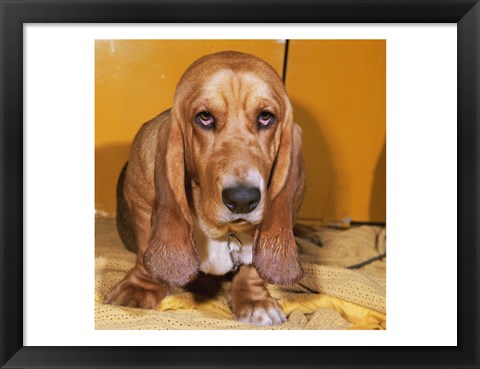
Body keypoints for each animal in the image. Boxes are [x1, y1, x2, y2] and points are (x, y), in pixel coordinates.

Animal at [104, 50, 308, 324]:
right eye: (205, 117)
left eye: (266, 117)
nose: (242, 199)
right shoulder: (141, 201)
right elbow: (146, 246)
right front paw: (139, 287)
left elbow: (252, 266)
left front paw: (255, 301)